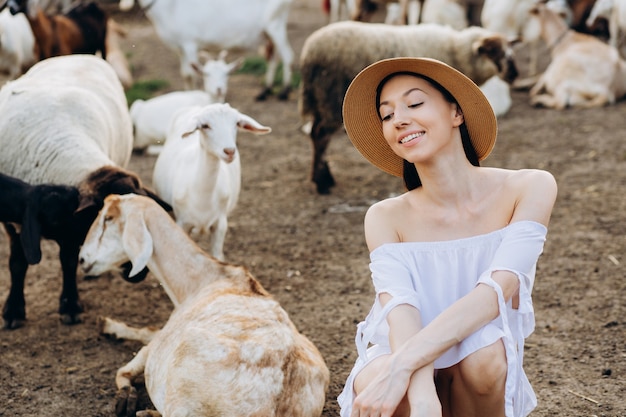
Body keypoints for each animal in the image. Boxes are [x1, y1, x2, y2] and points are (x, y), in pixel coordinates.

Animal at [0, 54, 168, 328]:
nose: (140, 273)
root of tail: (78, 55)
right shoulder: (13, 218)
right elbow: (17, 263)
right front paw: (13, 311)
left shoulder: (70, 229)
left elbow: (68, 262)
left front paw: (70, 306)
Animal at [152, 101, 270, 260]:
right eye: (205, 125)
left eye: (236, 123)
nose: (229, 151)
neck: (202, 196)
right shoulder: (182, 223)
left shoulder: (220, 224)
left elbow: (217, 256)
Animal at [298, 20, 516, 193]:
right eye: (492, 52)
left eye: (508, 50)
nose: (514, 73)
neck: (455, 51)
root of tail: (309, 53)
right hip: (331, 98)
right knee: (320, 135)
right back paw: (322, 183)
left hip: (321, 100)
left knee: (315, 133)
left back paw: (324, 177)